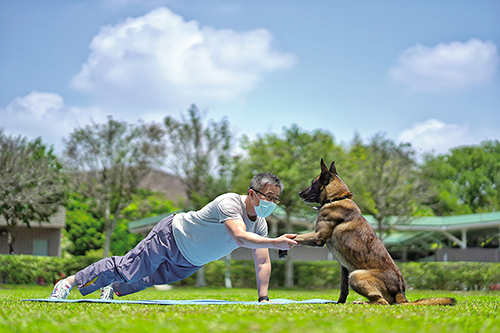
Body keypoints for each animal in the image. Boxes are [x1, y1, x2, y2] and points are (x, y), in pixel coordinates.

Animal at [280, 160, 456, 304]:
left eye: (312, 183)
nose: (299, 193)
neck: (337, 198)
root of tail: (401, 291)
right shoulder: (344, 268)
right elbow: (343, 290)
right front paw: (339, 303)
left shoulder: (318, 237)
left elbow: (297, 237)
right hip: (353, 274)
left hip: (356, 275)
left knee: (382, 302)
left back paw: (362, 302)